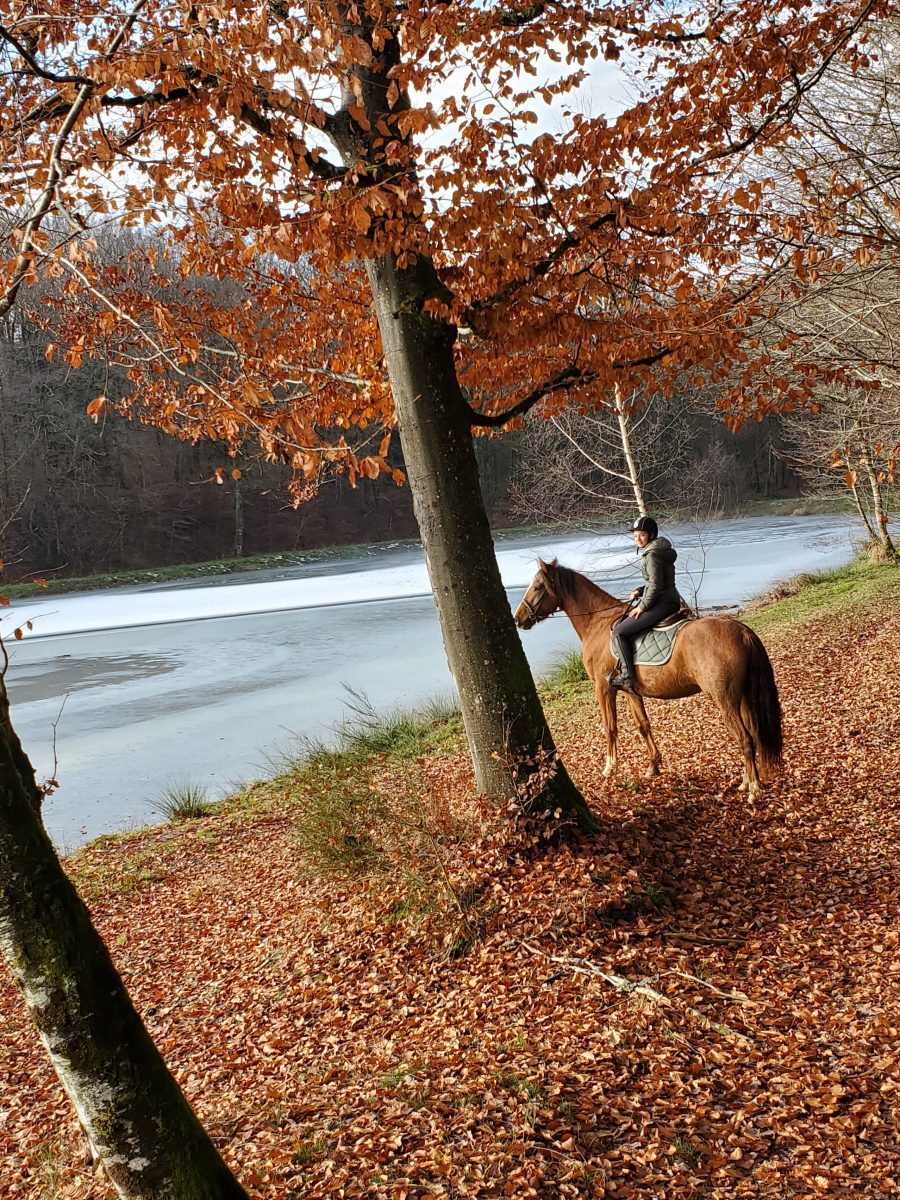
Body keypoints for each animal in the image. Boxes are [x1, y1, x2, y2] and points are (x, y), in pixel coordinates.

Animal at [513, 559, 782, 801]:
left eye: (538, 586)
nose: (518, 618)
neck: (598, 624)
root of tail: (741, 630)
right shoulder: (630, 691)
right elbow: (643, 725)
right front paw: (653, 765)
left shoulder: (603, 688)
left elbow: (610, 726)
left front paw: (610, 767)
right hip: (743, 698)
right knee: (752, 735)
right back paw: (746, 782)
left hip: (725, 699)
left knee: (745, 738)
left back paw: (754, 790)